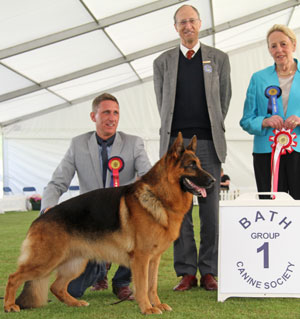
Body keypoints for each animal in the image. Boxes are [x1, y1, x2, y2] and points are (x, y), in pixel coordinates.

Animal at [3, 132, 214, 316]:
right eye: (191, 165)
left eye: (199, 164)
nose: (213, 180)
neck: (160, 196)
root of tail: (40, 218)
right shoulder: (142, 258)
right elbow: (143, 286)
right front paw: (147, 308)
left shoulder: (154, 259)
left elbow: (152, 285)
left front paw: (157, 304)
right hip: (46, 261)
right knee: (13, 277)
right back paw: (9, 305)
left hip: (74, 262)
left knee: (56, 286)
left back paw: (75, 303)